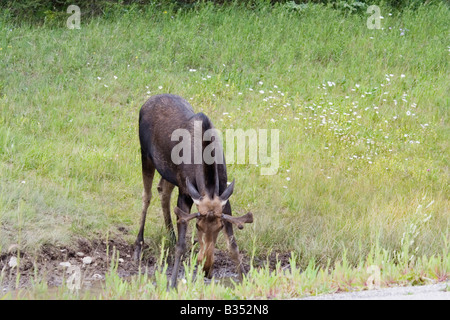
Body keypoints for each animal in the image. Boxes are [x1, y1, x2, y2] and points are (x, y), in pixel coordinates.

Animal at [133, 93, 253, 288]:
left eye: (219, 227)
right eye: (197, 225)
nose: (207, 268)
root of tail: (149, 100)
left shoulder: (224, 197)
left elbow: (233, 245)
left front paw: (245, 280)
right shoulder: (185, 193)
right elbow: (181, 245)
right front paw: (172, 284)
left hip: (168, 172)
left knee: (163, 189)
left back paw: (170, 234)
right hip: (145, 155)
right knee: (147, 195)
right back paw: (138, 245)